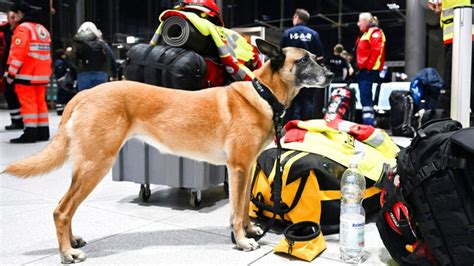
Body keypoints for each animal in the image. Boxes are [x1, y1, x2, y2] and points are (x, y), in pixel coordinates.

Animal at [1, 39, 332, 262]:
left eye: (316, 58)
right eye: (304, 60)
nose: (329, 75)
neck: (264, 94)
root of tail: (83, 94)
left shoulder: (247, 168)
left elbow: (242, 209)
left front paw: (250, 232)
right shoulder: (238, 167)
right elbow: (236, 212)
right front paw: (240, 241)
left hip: (86, 168)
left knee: (66, 208)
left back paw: (72, 242)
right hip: (95, 165)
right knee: (62, 210)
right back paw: (67, 252)